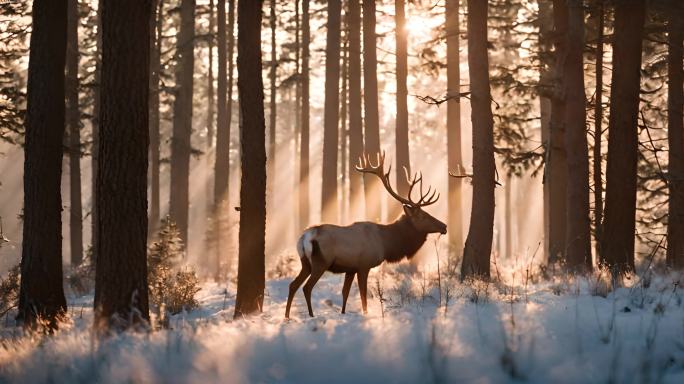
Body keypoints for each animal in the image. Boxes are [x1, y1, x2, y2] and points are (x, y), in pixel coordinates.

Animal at [286, 152, 446, 316]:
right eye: (423, 216)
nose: (444, 226)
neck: (386, 244)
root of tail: (304, 237)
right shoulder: (364, 265)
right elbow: (363, 295)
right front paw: (365, 314)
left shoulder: (350, 269)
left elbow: (345, 293)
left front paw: (343, 313)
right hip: (321, 262)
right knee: (306, 287)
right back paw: (311, 315)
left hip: (305, 263)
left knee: (293, 285)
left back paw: (287, 317)